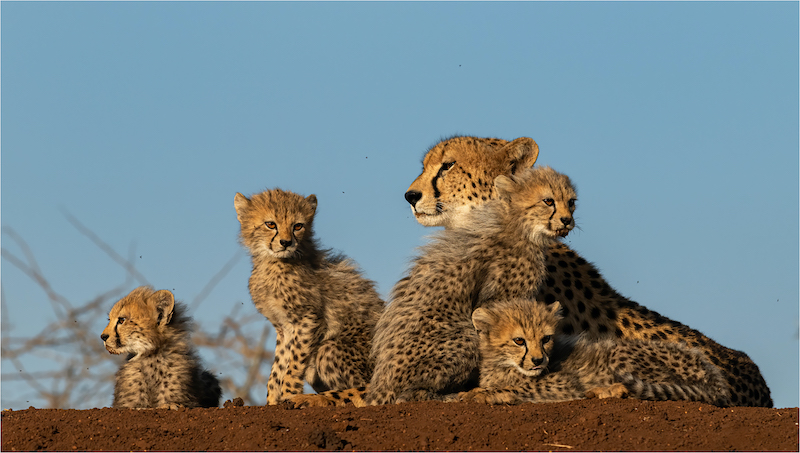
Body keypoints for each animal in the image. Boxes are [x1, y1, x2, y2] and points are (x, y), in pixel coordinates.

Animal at [235, 188, 385, 404]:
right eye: (270, 224)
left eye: (298, 226)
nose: (286, 242)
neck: (274, 263)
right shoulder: (284, 328)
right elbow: (278, 367)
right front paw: (272, 402)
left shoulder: (309, 319)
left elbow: (294, 362)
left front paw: (290, 395)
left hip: (330, 349)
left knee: (368, 391)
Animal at [458, 298, 731, 406]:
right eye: (519, 341)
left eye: (546, 338)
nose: (538, 360)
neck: (504, 366)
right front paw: (477, 391)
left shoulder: (565, 383)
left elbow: (524, 388)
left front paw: (489, 394)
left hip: (621, 354)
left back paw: (606, 390)